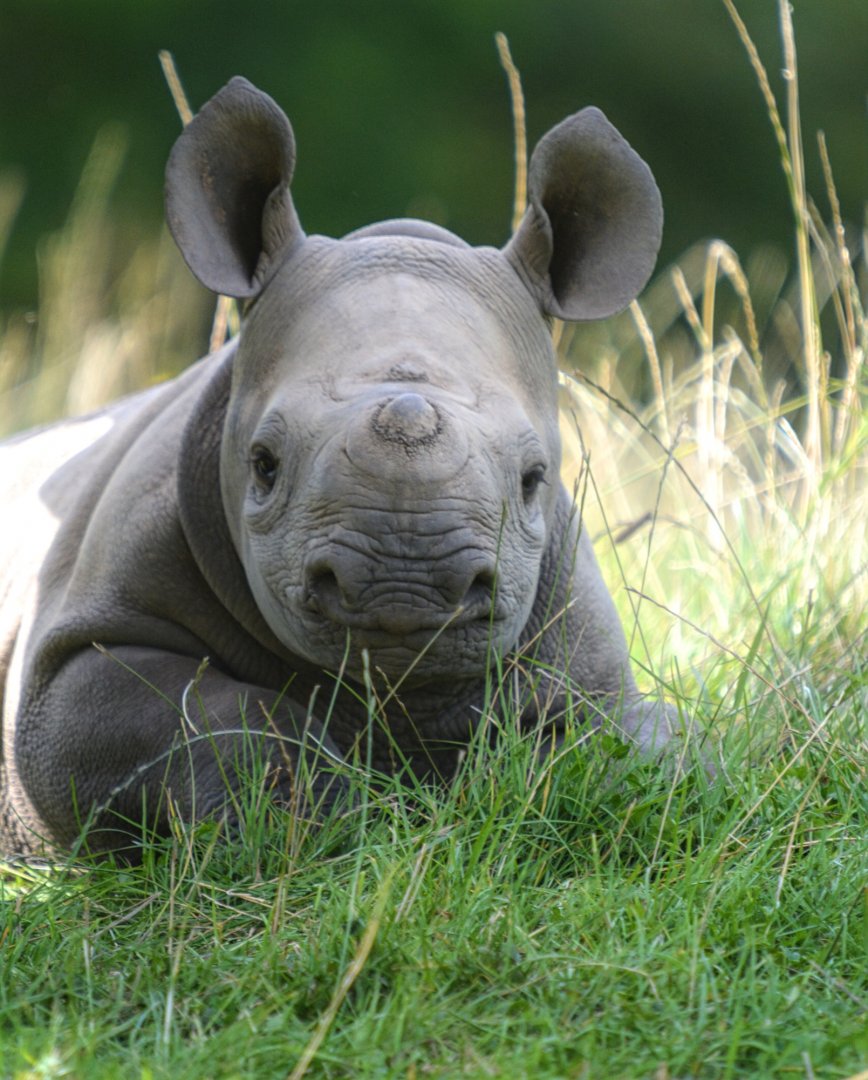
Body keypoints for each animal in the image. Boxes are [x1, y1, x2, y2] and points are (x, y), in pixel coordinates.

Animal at [0, 77, 679, 858]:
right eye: (263, 465)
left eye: (535, 479)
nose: (403, 586)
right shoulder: (72, 660)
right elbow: (196, 716)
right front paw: (329, 818)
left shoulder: (582, 655)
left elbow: (631, 742)